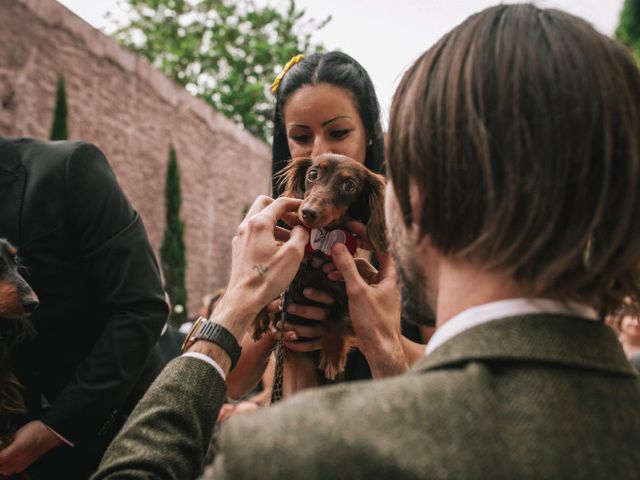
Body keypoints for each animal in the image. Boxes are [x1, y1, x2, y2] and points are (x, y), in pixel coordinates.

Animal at [254, 154, 384, 390]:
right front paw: (258, 316)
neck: (317, 253)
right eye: (312, 174)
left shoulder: (345, 288)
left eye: (349, 185)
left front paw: (332, 354)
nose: (308, 212)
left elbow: (335, 316)